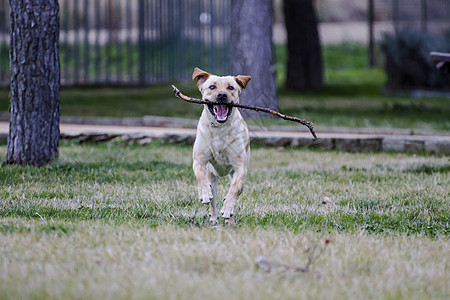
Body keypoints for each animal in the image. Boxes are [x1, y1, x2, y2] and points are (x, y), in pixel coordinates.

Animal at [192, 67, 251, 223]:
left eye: (230, 88)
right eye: (212, 87)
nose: (222, 95)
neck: (220, 127)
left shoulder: (240, 167)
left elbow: (234, 189)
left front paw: (228, 208)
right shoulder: (199, 159)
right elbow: (200, 174)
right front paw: (204, 193)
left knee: (236, 190)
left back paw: (229, 219)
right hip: (212, 176)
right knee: (212, 198)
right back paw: (213, 218)